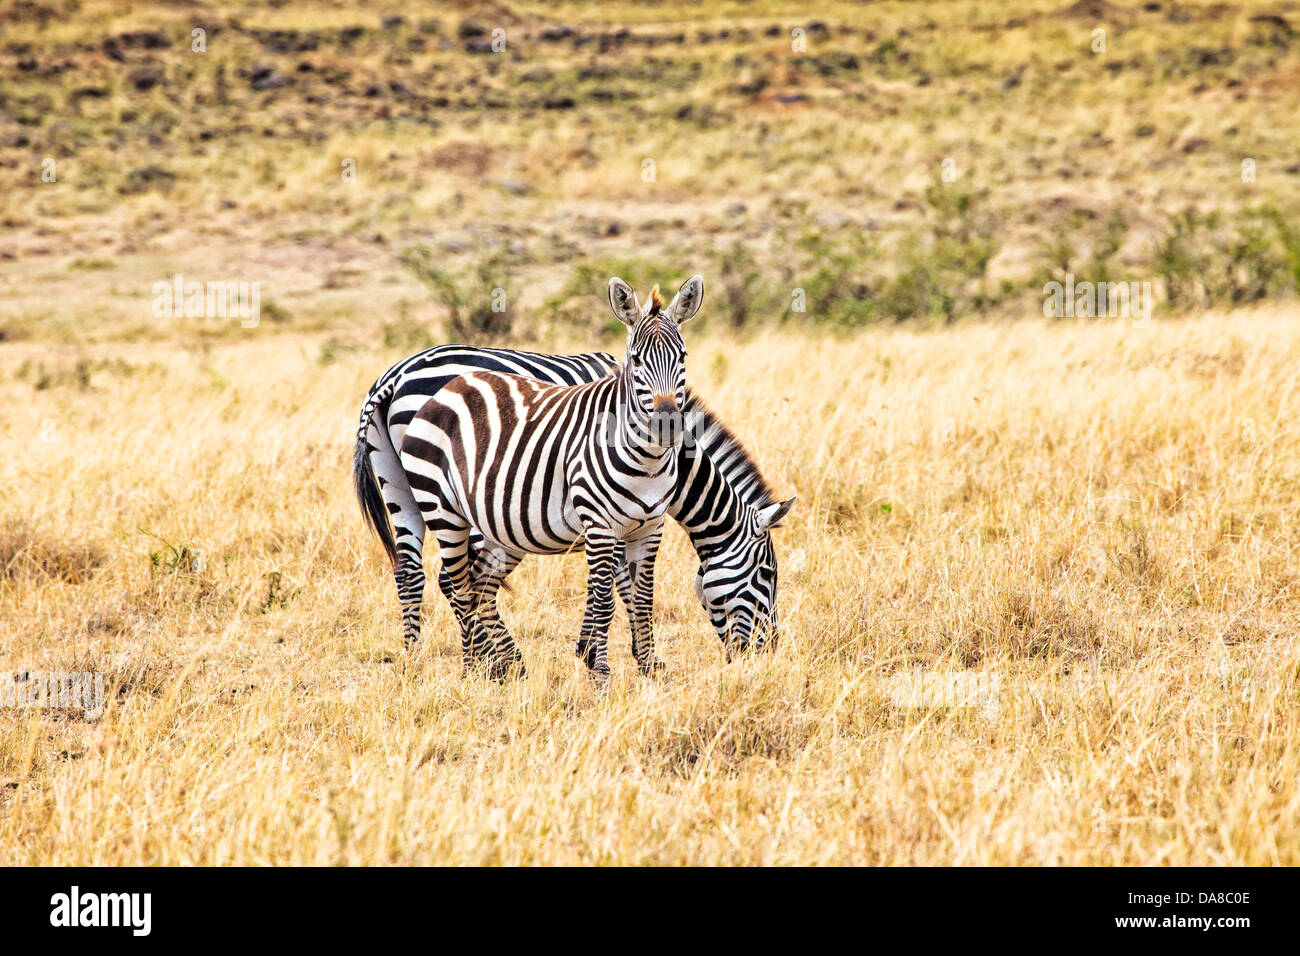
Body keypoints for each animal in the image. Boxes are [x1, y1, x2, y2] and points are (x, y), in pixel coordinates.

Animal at [352, 293, 796, 671]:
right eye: (767, 574)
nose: (768, 654)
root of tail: (392, 376)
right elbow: (620, 586)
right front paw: (607, 653)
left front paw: (603, 649)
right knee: (451, 577)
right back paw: (492, 662)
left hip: (400, 482)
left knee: (410, 571)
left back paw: (418, 661)